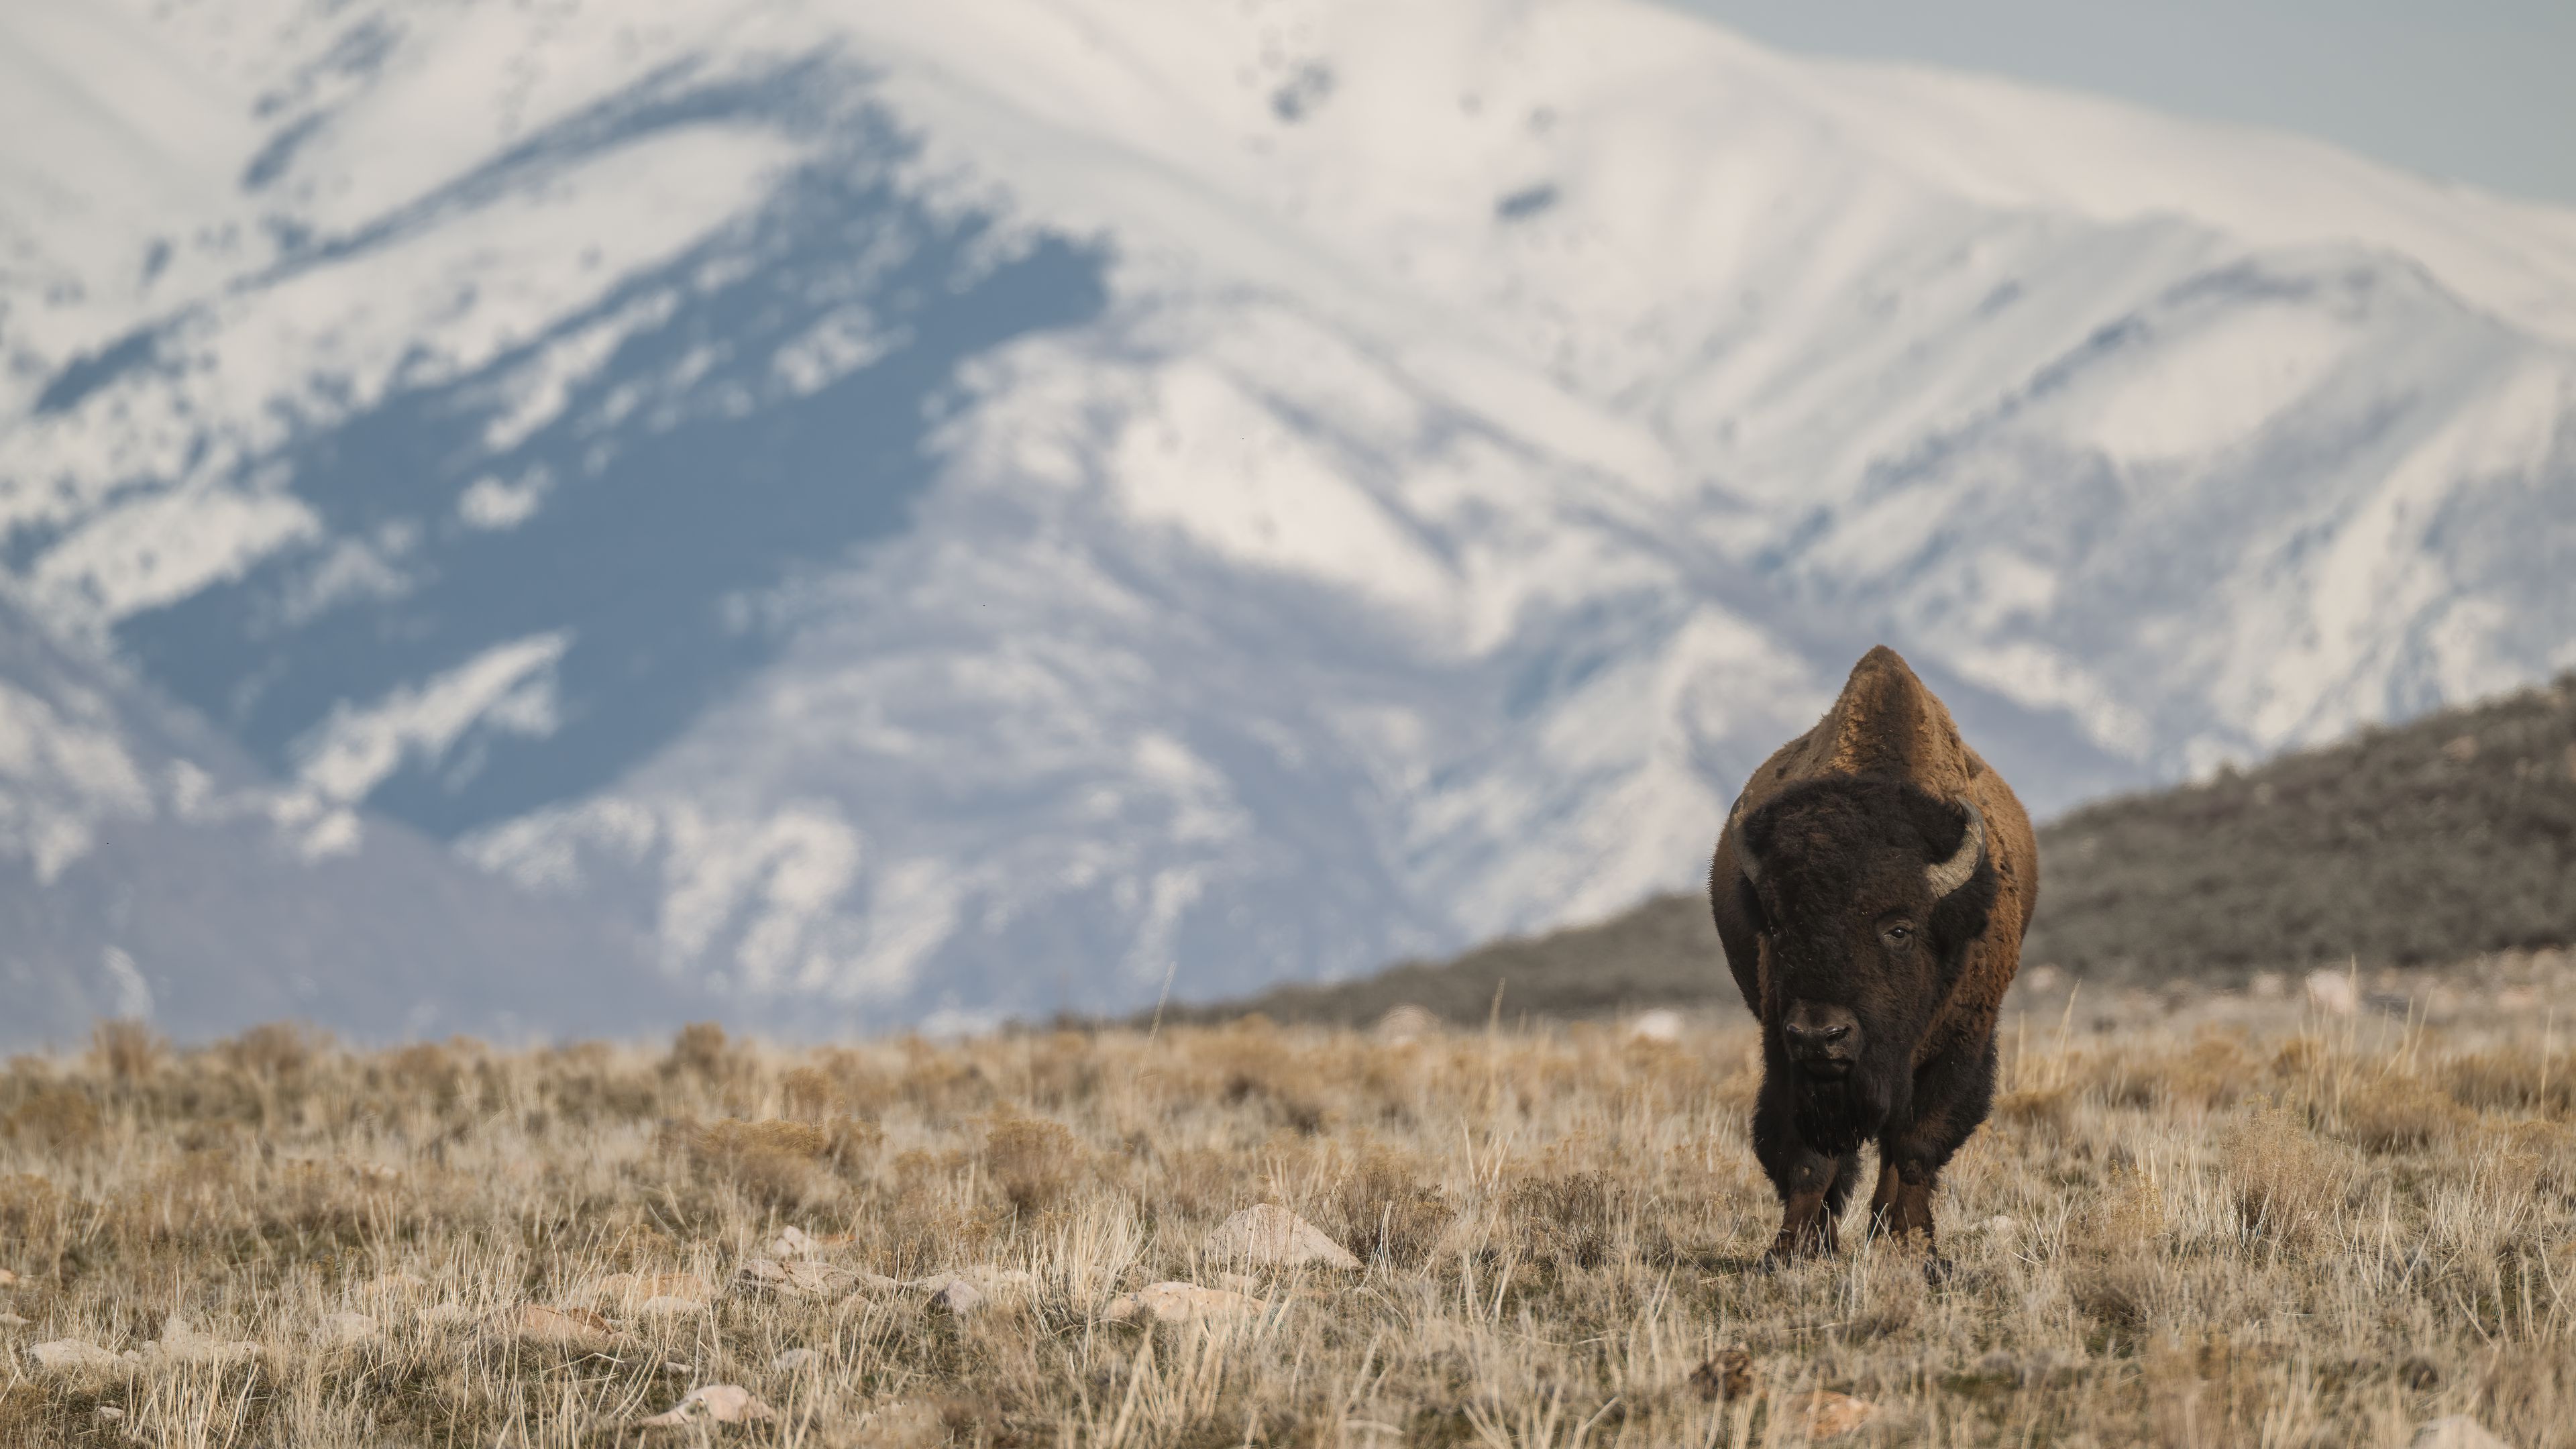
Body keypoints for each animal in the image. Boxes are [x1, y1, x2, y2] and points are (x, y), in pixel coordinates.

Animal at [1708, 646, 2039, 1263]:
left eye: (1899, 930)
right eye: (1778, 926)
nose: (1822, 1035)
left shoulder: (1960, 1048)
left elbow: (1915, 1147)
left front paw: (1914, 1244)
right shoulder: (1785, 1056)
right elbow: (1809, 1159)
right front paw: (1792, 1249)